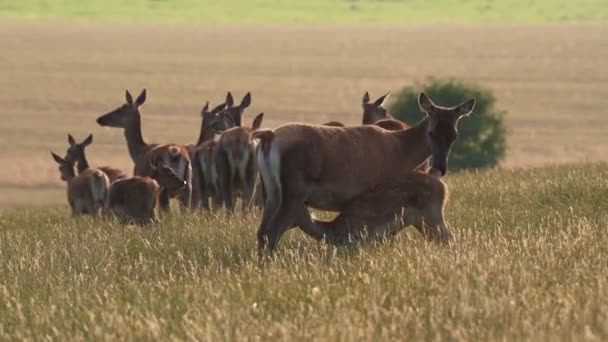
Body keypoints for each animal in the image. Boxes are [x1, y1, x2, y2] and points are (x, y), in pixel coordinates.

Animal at [252, 92, 476, 250]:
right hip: (294, 190)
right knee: (272, 232)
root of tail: (269, 137)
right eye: (431, 131)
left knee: (262, 232)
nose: (439, 168)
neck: (402, 151)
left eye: (454, 135)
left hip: (271, 191)